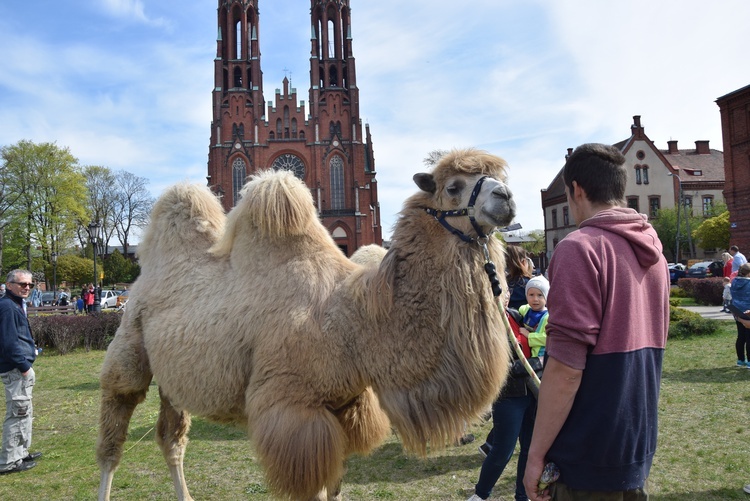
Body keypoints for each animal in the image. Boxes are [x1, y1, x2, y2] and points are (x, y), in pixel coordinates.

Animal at [97, 146, 520, 498]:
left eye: (497, 178)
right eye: (453, 186)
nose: (506, 198)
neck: (354, 321)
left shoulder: (347, 409)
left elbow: (335, 488)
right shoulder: (296, 414)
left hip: (175, 378)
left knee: (171, 440)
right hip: (129, 348)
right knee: (112, 441)